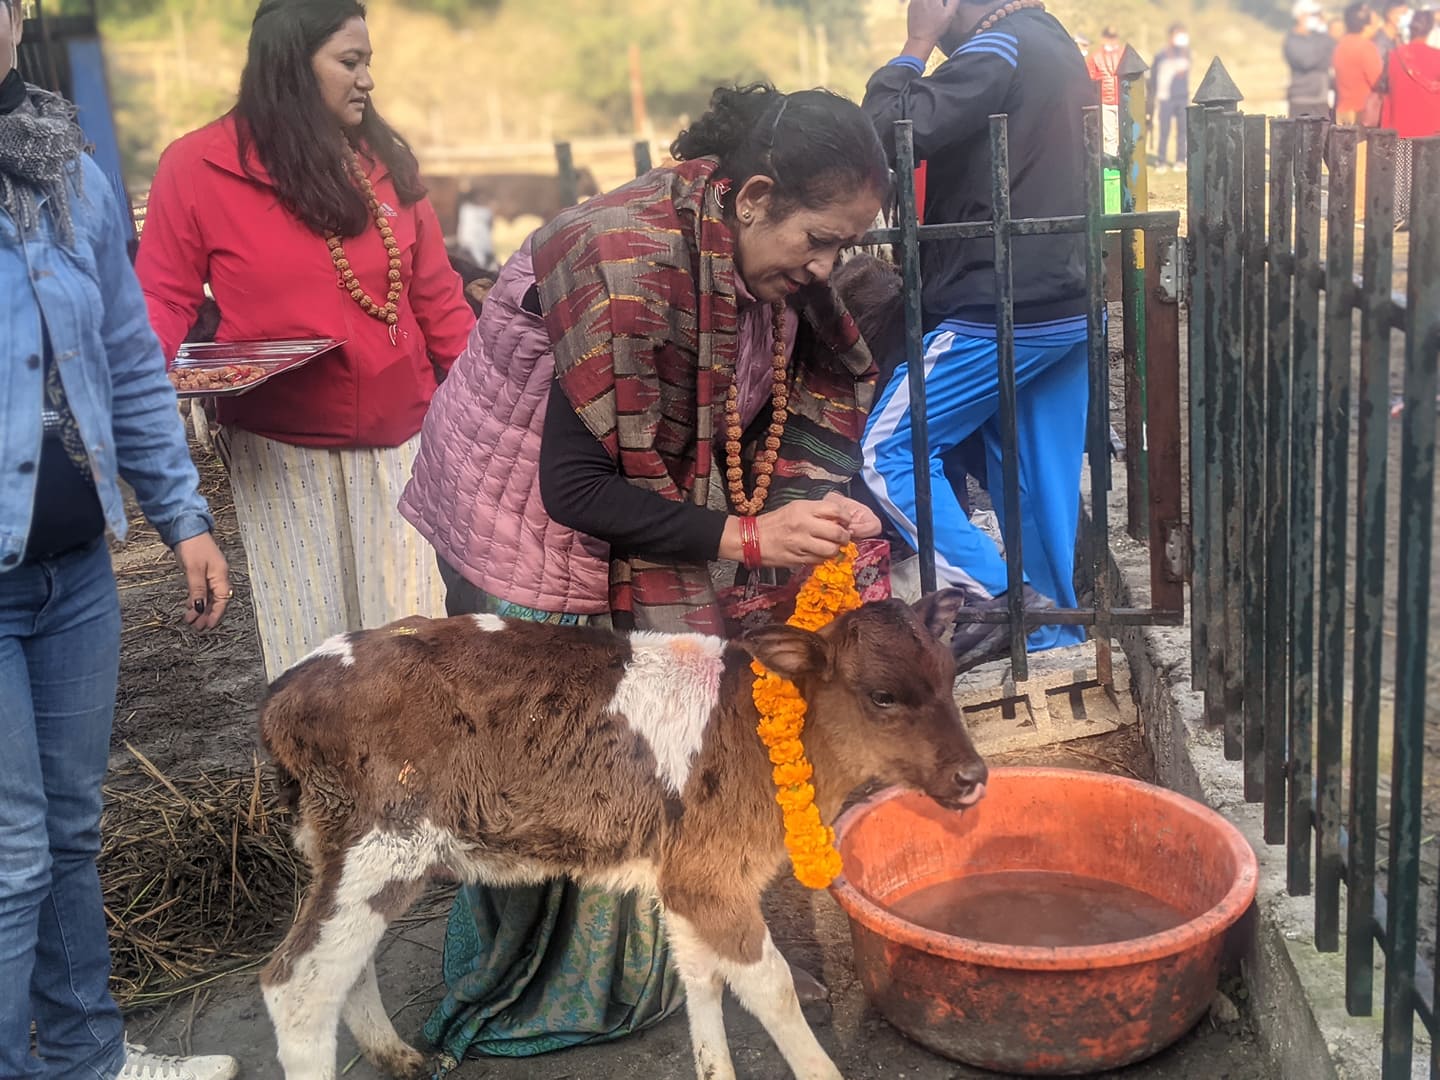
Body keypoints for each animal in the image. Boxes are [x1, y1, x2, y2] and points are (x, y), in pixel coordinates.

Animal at [259, 593, 990, 1080]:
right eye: (883, 696)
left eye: (950, 677)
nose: (973, 776)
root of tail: (287, 687)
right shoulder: (711, 878)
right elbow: (772, 989)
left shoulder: (685, 878)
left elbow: (703, 980)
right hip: (383, 842)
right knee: (295, 987)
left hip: (352, 852)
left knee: (341, 967)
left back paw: (397, 1054)